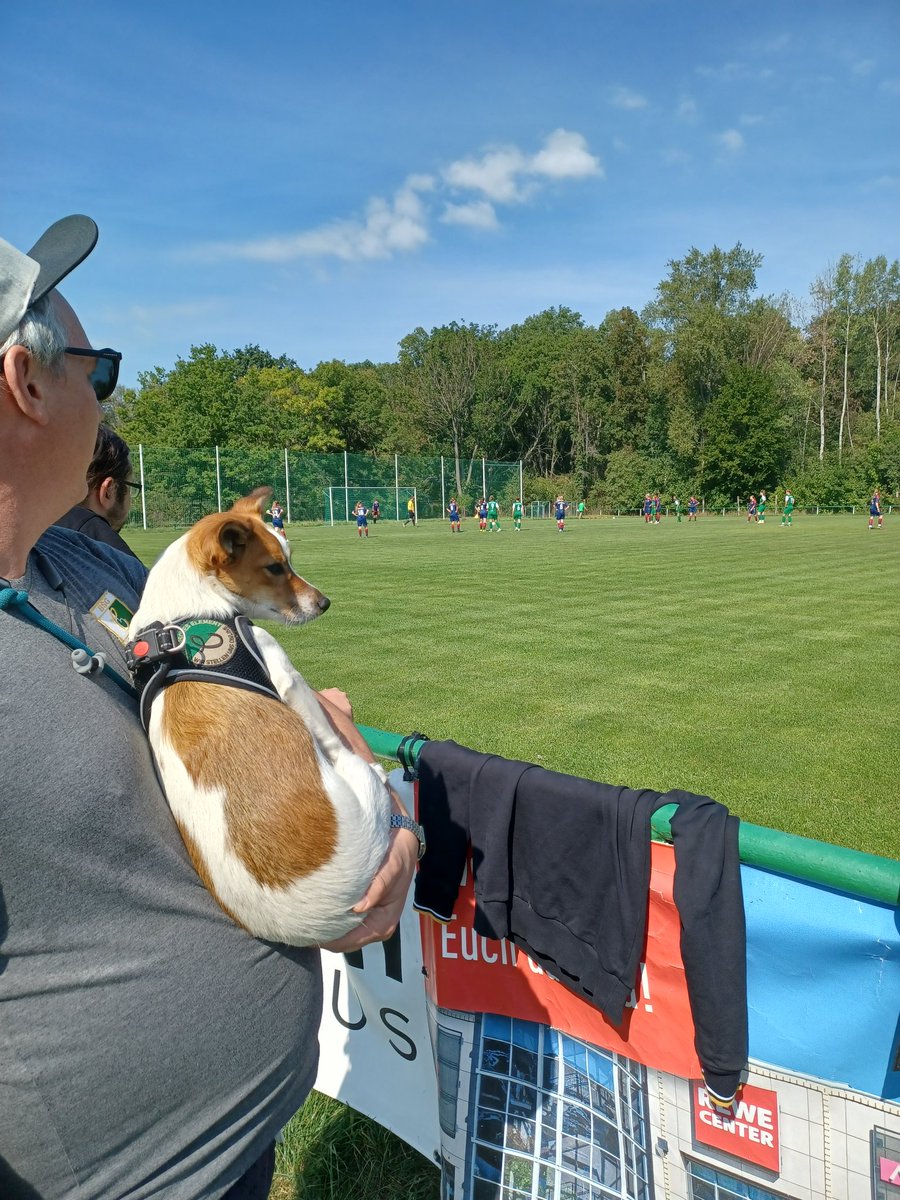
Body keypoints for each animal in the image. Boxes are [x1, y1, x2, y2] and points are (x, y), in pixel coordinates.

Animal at [127, 487, 391, 945]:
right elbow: (325, 731)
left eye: (290, 558)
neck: (179, 618)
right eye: (275, 567)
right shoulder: (283, 670)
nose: (325, 603)